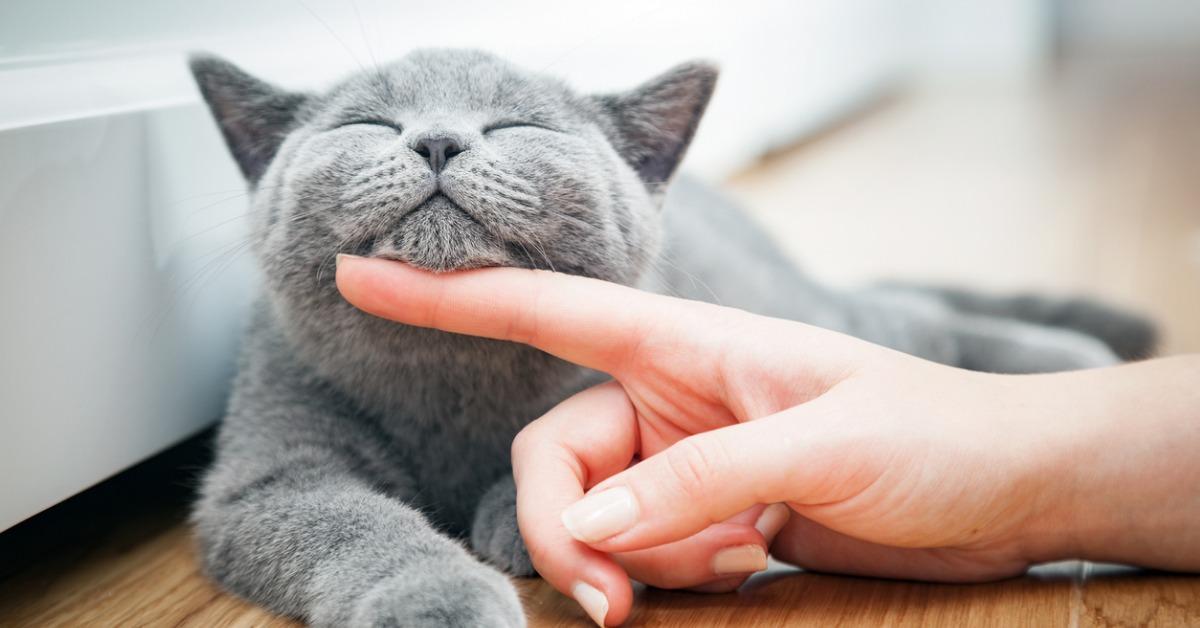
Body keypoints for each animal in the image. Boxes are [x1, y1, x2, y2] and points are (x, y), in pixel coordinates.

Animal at [187, 46, 1152, 624]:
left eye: (518, 126)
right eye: (367, 125)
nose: (436, 140)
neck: (449, 376)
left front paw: (514, 519)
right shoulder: (268, 474)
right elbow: (354, 525)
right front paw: (442, 595)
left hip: (798, 312)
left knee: (910, 321)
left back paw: (1070, 361)